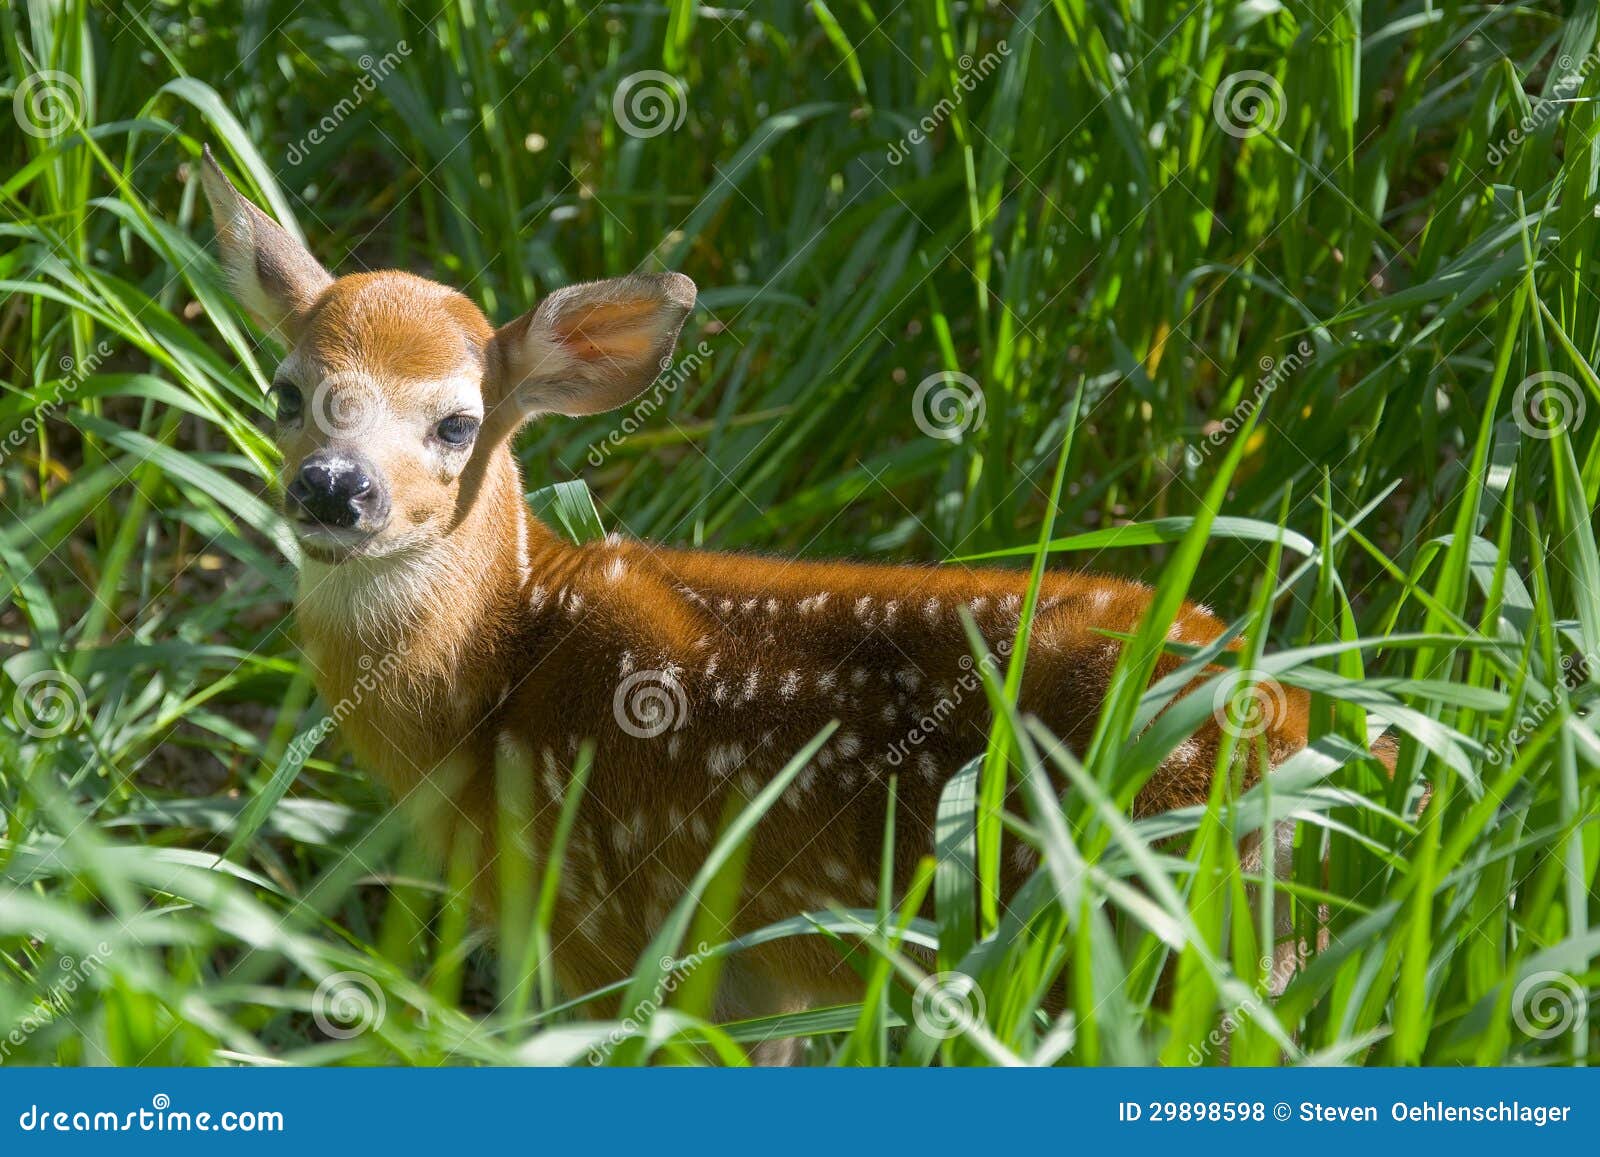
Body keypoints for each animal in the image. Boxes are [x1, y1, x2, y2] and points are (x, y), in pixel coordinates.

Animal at [198, 146, 1386, 1062]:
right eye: (287, 391)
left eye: (456, 421)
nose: (336, 488)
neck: (500, 673)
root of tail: (1286, 724)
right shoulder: (754, 969)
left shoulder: (608, 929)